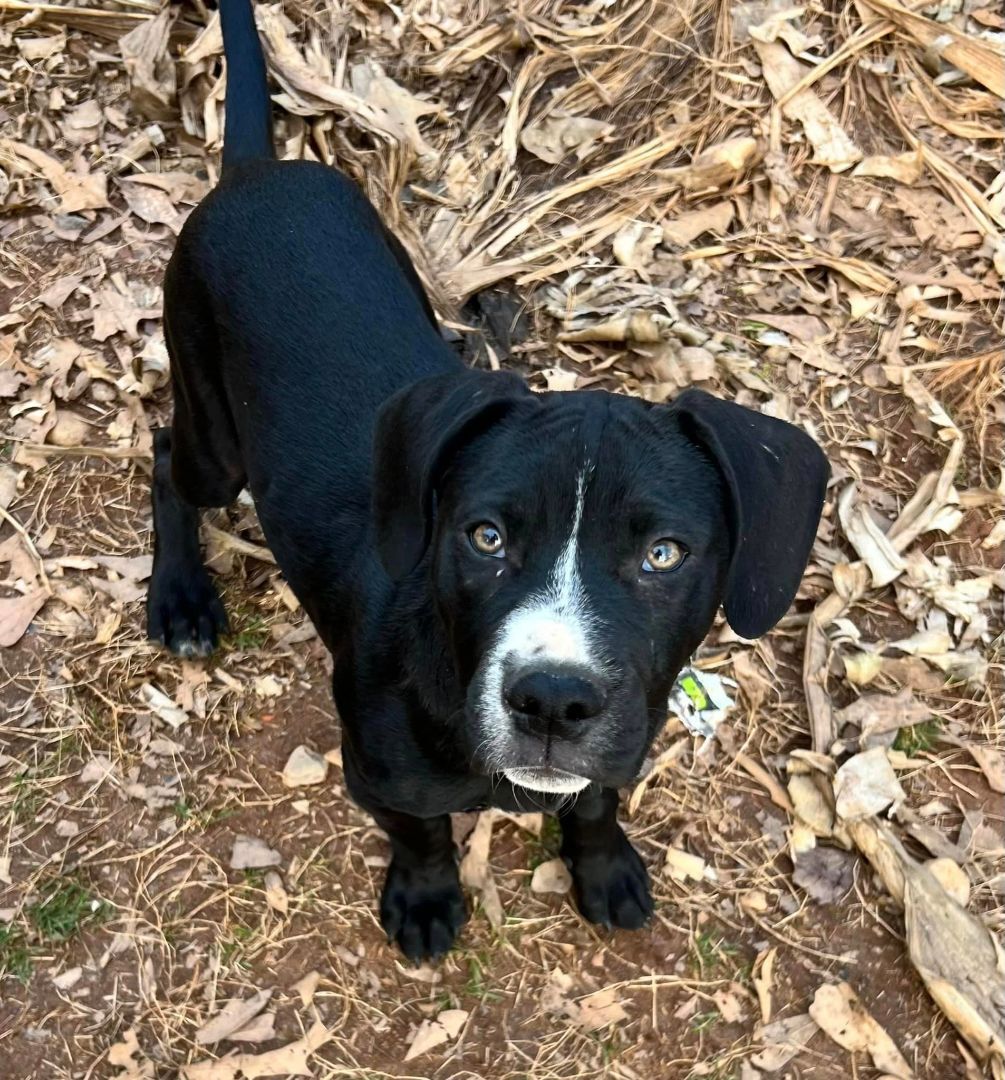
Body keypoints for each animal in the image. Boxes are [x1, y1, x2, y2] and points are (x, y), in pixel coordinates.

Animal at [147, 0, 824, 963]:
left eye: (664, 553)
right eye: (485, 536)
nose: (552, 701)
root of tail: (254, 172)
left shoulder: (621, 740)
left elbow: (596, 799)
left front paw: (603, 865)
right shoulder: (377, 774)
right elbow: (422, 831)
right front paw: (427, 898)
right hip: (214, 431)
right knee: (168, 453)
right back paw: (181, 601)